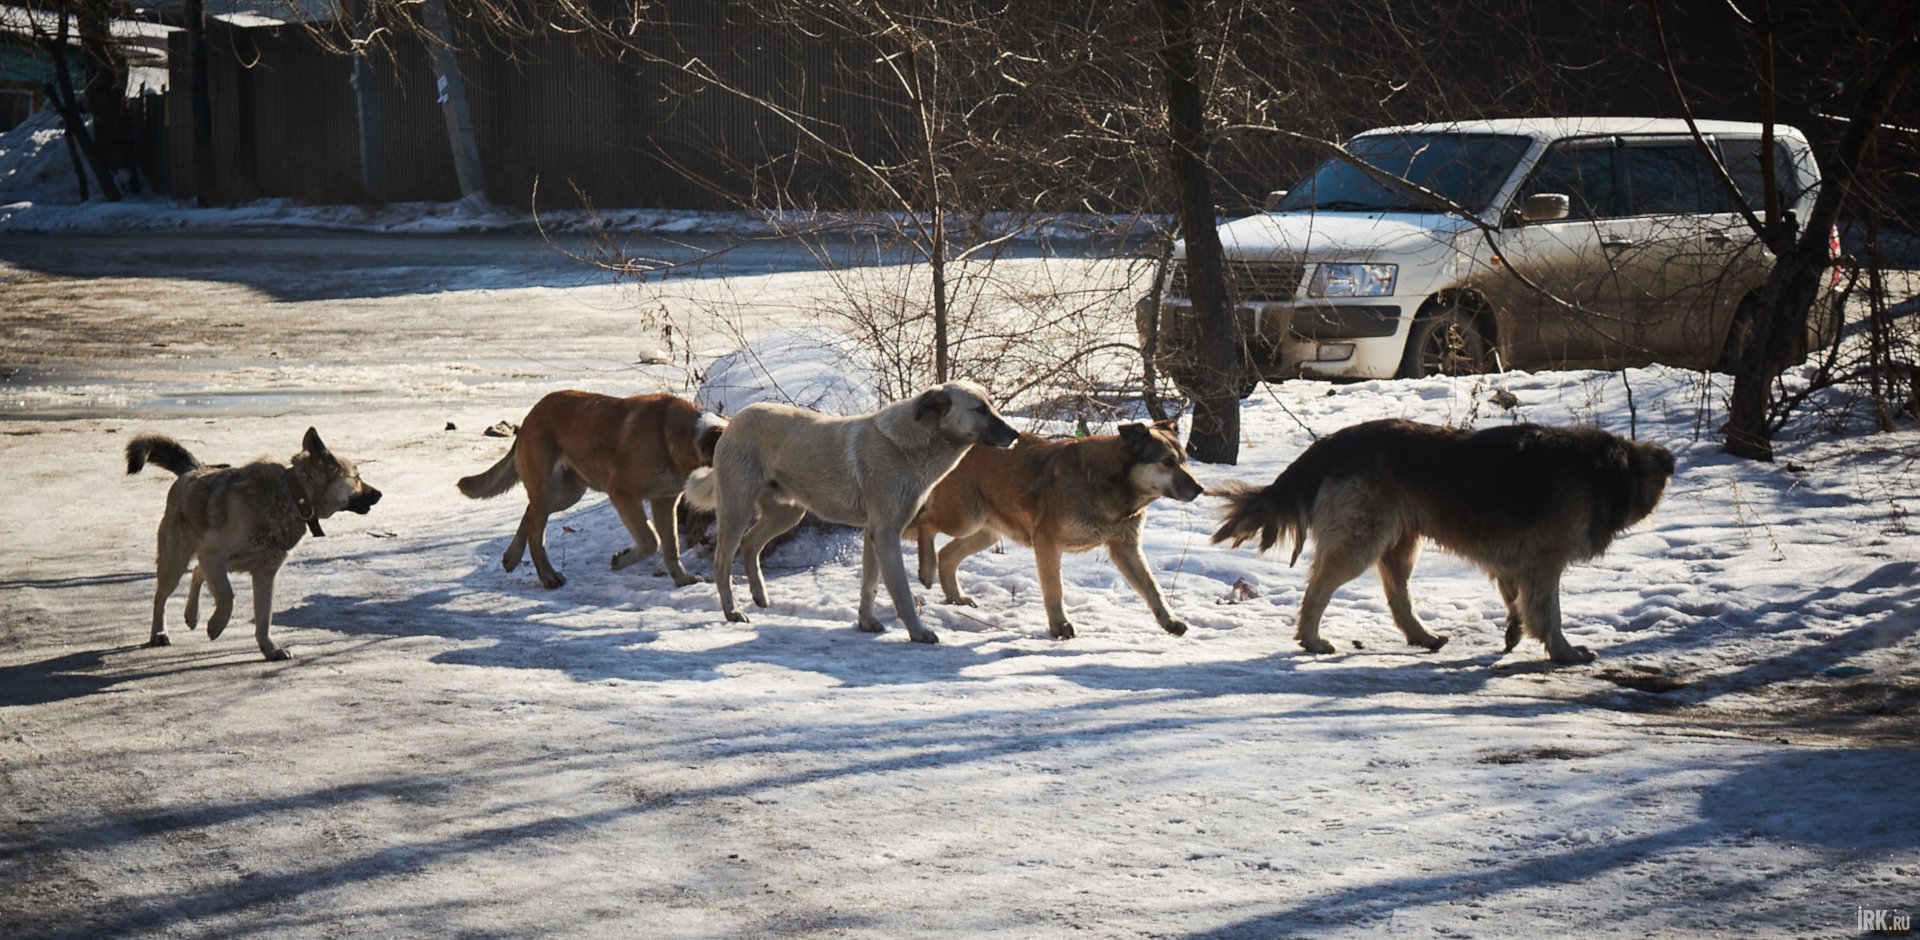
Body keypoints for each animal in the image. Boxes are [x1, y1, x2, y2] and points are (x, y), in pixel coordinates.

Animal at [127, 427, 382, 659]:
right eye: (357, 477)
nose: (379, 494)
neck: (293, 496)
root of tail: (194, 470)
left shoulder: (265, 574)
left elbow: (264, 616)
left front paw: (269, 648)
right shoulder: (213, 555)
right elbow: (228, 598)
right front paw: (216, 626)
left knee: (198, 572)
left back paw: (192, 615)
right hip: (176, 562)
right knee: (161, 596)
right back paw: (159, 633)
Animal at [458, 389, 725, 587]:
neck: (681, 437)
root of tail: (530, 416)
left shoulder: (664, 500)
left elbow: (671, 547)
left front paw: (682, 579)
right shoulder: (622, 493)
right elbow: (651, 540)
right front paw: (620, 560)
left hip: (567, 493)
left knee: (530, 513)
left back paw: (511, 558)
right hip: (549, 489)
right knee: (536, 533)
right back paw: (548, 576)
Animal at [910, 420, 1198, 636]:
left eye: (1184, 460)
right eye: (1168, 461)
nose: (1199, 488)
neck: (1114, 485)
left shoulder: (1125, 547)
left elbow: (1152, 587)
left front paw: (1170, 621)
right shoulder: (1047, 543)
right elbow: (1054, 589)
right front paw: (1060, 625)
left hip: (985, 530)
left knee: (947, 554)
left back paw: (956, 598)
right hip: (964, 518)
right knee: (926, 524)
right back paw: (926, 570)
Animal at [1221, 418, 1674, 659]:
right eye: (1648, 478)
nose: (1669, 463)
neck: (1597, 469)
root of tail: (1335, 442)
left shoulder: (1514, 562)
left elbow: (1516, 600)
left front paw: (1514, 632)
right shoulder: (1544, 561)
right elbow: (1549, 612)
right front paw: (1564, 652)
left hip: (1399, 544)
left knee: (1397, 597)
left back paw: (1421, 636)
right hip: (1361, 540)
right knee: (1318, 589)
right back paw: (1312, 639)